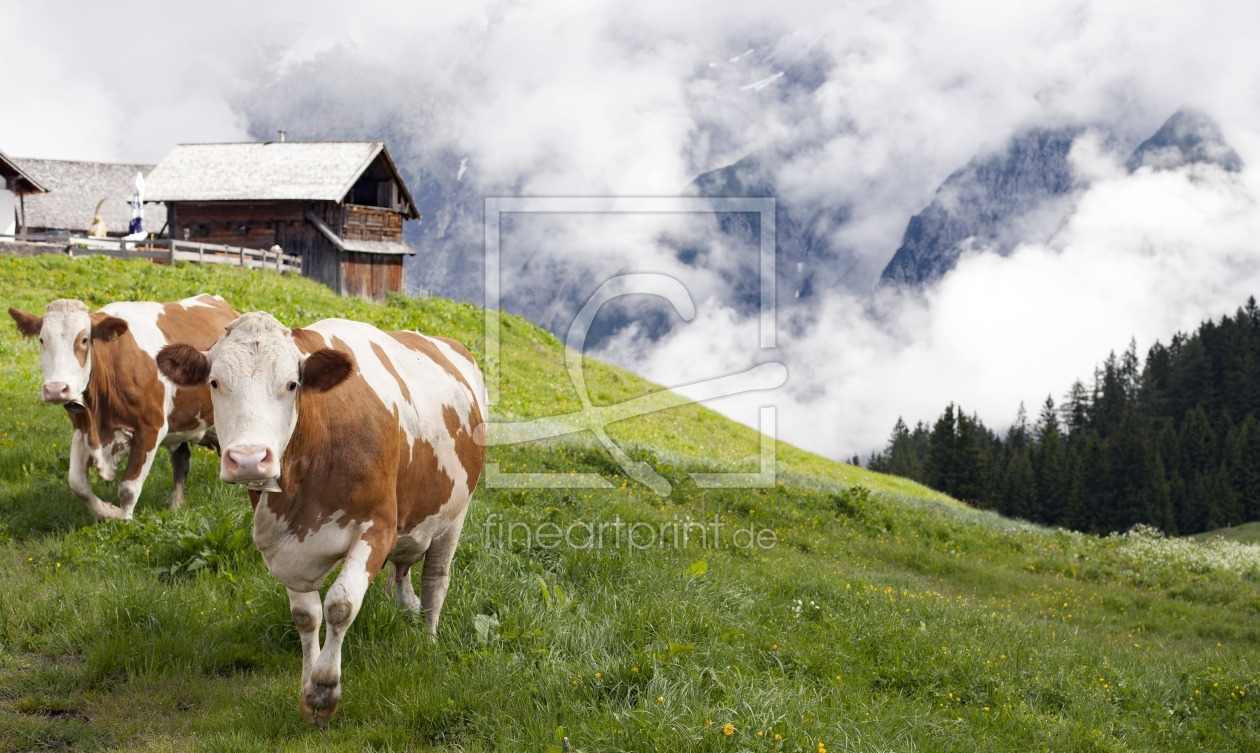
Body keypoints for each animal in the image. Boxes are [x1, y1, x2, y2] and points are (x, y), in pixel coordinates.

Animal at [8, 294, 238, 518]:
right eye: (42, 340)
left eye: (83, 340)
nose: (56, 389)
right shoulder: (83, 428)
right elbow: (77, 483)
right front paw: (107, 511)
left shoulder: (150, 428)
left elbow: (128, 488)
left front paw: (124, 523)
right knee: (181, 461)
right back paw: (176, 506)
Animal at [156, 312, 486, 725]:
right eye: (214, 382)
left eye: (292, 383)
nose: (248, 459)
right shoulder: (285, 544)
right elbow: (305, 615)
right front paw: (307, 688)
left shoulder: (378, 528)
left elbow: (340, 605)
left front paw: (325, 690)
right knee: (404, 572)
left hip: (456, 513)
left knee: (435, 580)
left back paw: (427, 639)